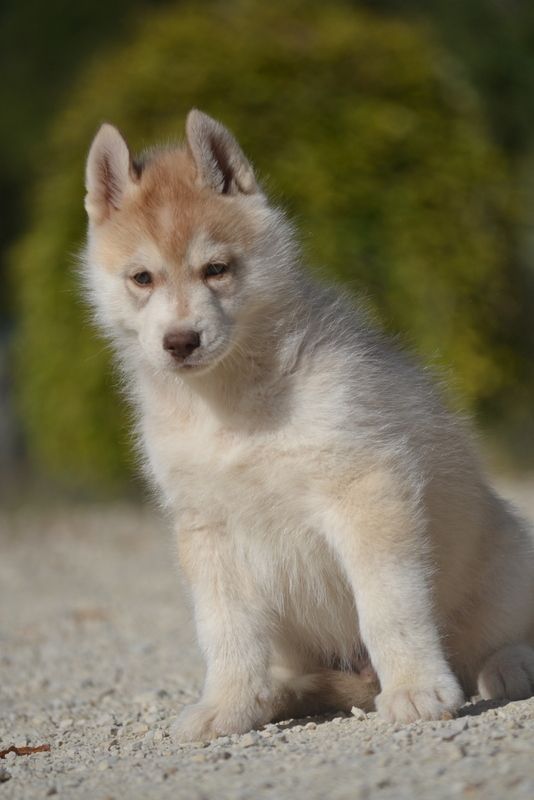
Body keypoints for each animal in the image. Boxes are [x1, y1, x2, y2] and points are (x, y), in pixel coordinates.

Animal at [83, 109, 534, 741]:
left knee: (497, 638)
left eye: (216, 270)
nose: (180, 342)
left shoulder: (367, 490)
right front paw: (228, 705)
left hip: (507, 569)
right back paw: (280, 694)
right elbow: (225, 632)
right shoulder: (208, 529)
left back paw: (509, 666)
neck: (233, 407)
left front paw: (417, 690)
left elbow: (390, 607)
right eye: (142, 278)